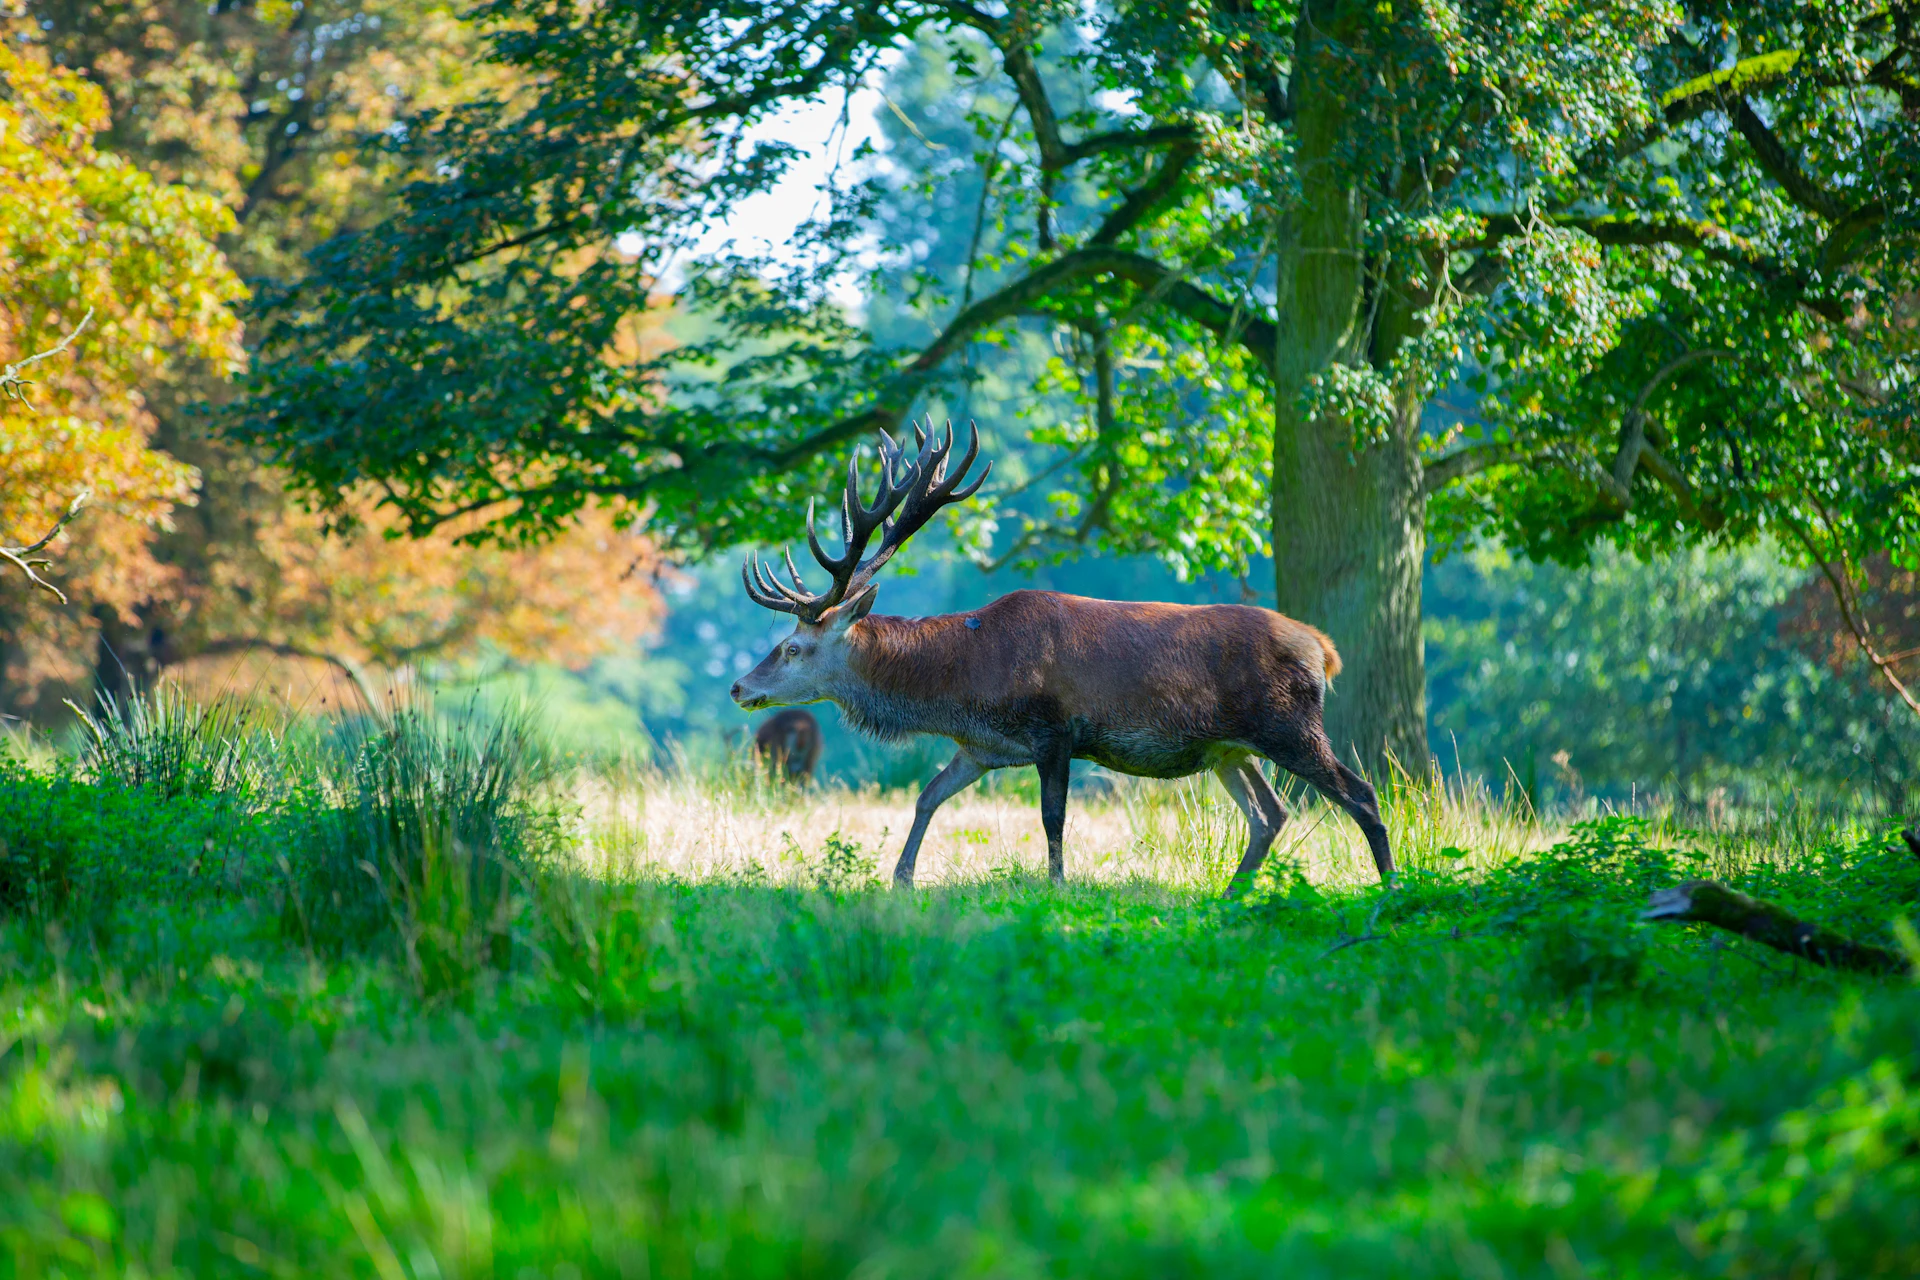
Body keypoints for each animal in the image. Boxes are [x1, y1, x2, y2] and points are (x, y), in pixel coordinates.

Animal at [729, 421, 1395, 892]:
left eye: (792, 647)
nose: (739, 687)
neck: (964, 687)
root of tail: (1324, 650)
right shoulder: (982, 748)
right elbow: (927, 796)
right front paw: (900, 879)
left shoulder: (1055, 731)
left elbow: (1053, 819)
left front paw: (1056, 889)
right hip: (1229, 747)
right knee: (1269, 814)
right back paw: (1232, 896)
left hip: (1291, 726)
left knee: (1360, 794)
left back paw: (1392, 889)